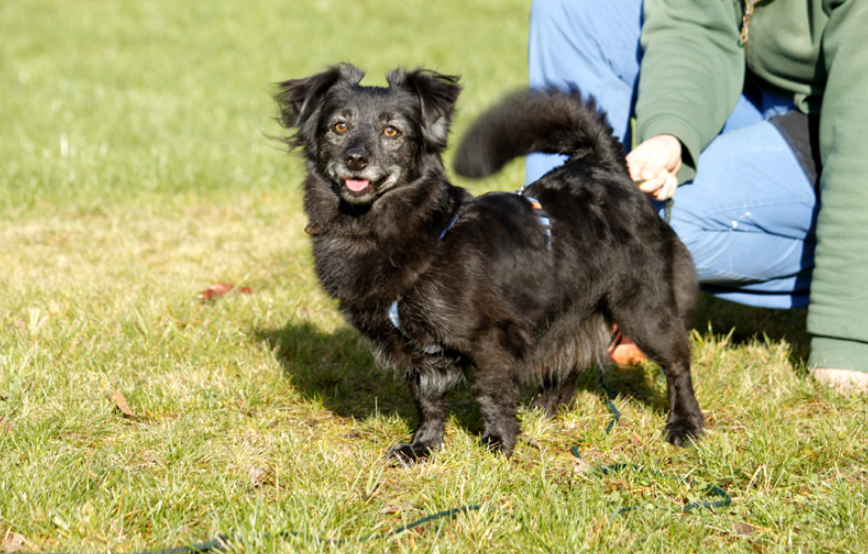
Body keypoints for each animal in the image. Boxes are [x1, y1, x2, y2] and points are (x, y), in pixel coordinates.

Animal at [274, 63, 700, 462]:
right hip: (570, 307)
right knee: (570, 359)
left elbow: (491, 393)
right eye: (339, 126)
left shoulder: (489, 339)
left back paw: (686, 424)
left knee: (677, 365)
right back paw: (545, 409)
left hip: (642, 308)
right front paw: (423, 447)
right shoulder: (418, 351)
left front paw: (498, 445)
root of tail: (605, 167)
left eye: (392, 131)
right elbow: (427, 401)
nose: (356, 159)